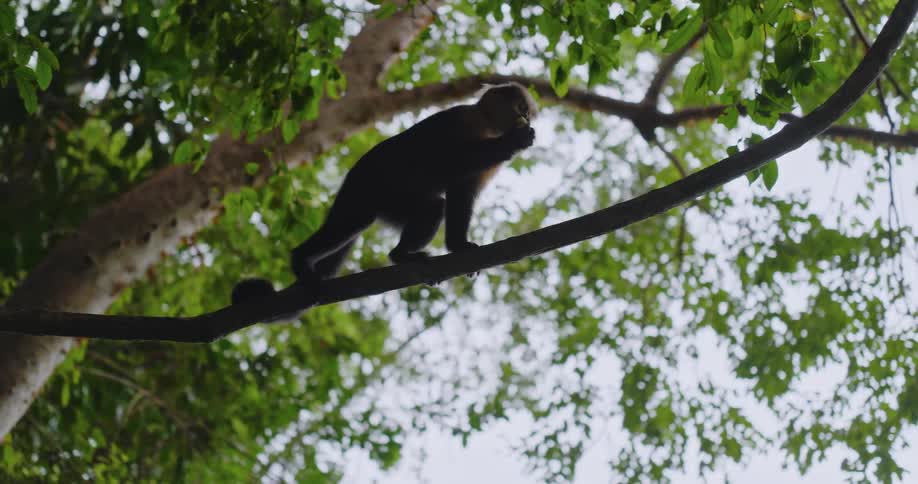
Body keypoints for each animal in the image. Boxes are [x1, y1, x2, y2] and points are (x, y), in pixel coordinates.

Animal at [231, 82, 538, 309]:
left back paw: (401, 254)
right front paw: (513, 141)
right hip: (365, 189)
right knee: (359, 220)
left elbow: (462, 192)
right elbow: (447, 162)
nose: (525, 118)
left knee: (429, 207)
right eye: (521, 109)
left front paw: (459, 246)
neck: (486, 125)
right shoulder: (461, 118)